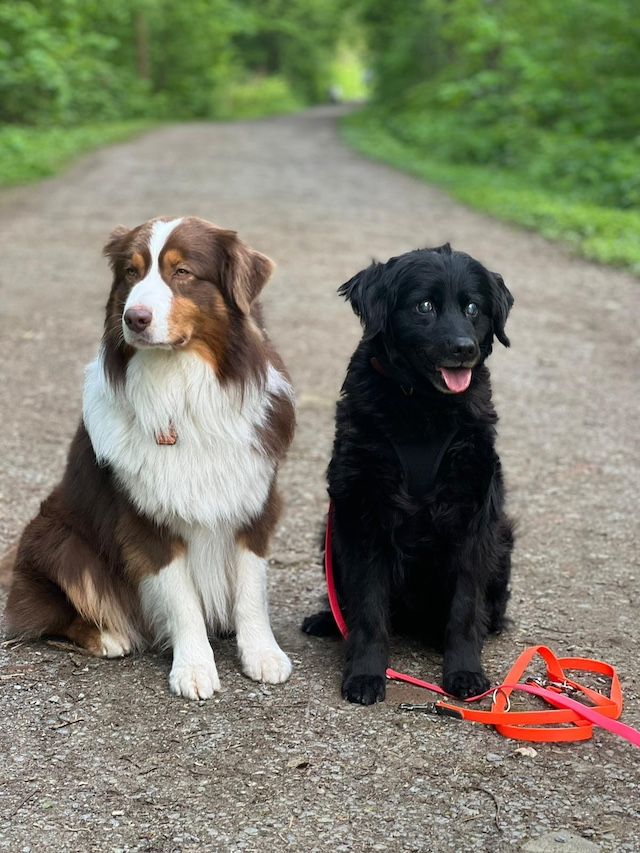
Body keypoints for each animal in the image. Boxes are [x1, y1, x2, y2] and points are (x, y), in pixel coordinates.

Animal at [3, 215, 296, 700]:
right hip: (59, 539)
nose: (134, 317)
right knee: (47, 613)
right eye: (131, 273)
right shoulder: (146, 520)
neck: (180, 385)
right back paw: (108, 635)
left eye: (183, 272)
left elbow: (251, 589)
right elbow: (182, 600)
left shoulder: (253, 501)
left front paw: (262, 653)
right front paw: (193, 667)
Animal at [302, 243, 516, 704]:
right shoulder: (362, 513)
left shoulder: (474, 518)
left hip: (503, 537)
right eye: (424, 306)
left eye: (473, 307)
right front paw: (366, 673)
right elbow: (367, 609)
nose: (464, 348)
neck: (423, 409)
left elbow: (465, 608)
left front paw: (465, 671)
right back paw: (327, 620)